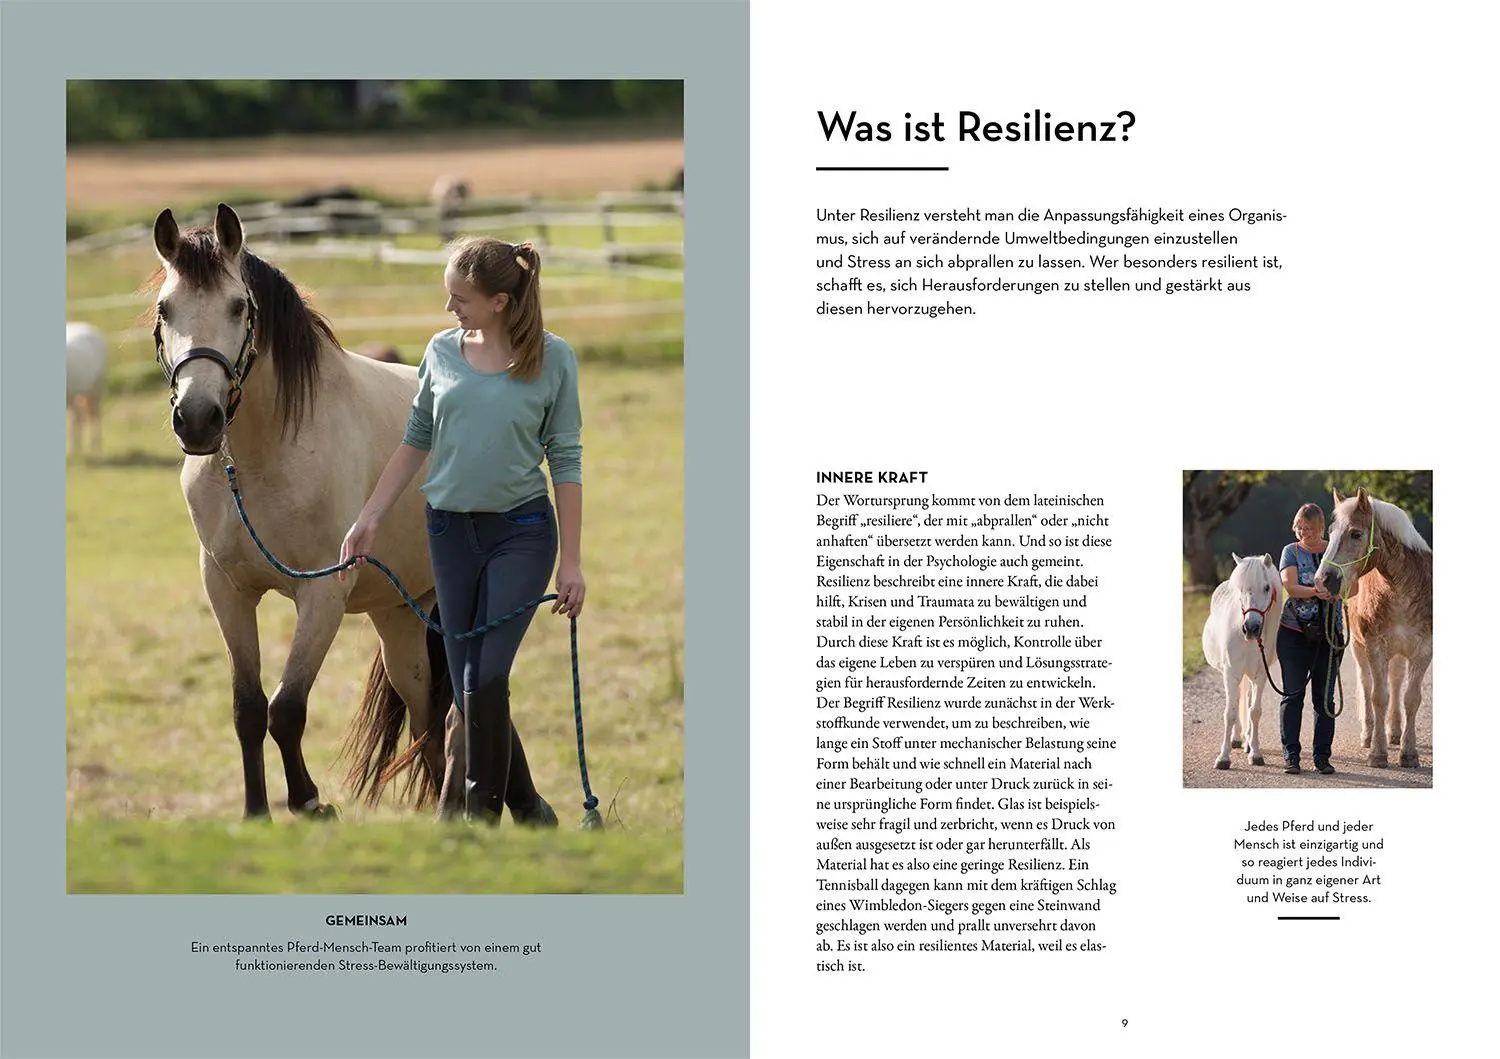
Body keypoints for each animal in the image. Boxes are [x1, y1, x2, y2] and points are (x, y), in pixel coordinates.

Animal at [149, 202, 462, 819]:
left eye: (238, 305)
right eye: (165, 308)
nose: (197, 419)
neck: (264, 456)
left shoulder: (322, 595)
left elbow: (287, 707)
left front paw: (310, 801)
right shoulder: (227, 591)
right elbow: (249, 708)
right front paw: (257, 811)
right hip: (402, 617)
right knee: (426, 714)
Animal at [1202, 552, 1284, 769]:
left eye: (1266, 587)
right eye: (1240, 589)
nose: (1251, 628)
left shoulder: (1261, 675)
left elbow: (1254, 711)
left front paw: (1255, 753)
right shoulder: (1231, 673)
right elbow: (1230, 713)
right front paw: (1223, 757)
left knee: (1246, 701)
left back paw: (1246, 741)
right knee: (1237, 699)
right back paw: (1237, 739)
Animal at [1314, 488, 1432, 768]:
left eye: (1356, 534)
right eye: (1330, 532)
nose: (1323, 580)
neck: (1403, 590)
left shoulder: (1424, 650)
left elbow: (1411, 698)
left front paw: (1408, 753)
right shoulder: (1375, 647)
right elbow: (1378, 697)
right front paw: (1377, 753)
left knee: (1396, 682)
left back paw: (1395, 732)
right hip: (1359, 649)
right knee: (1367, 685)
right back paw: (1369, 735)